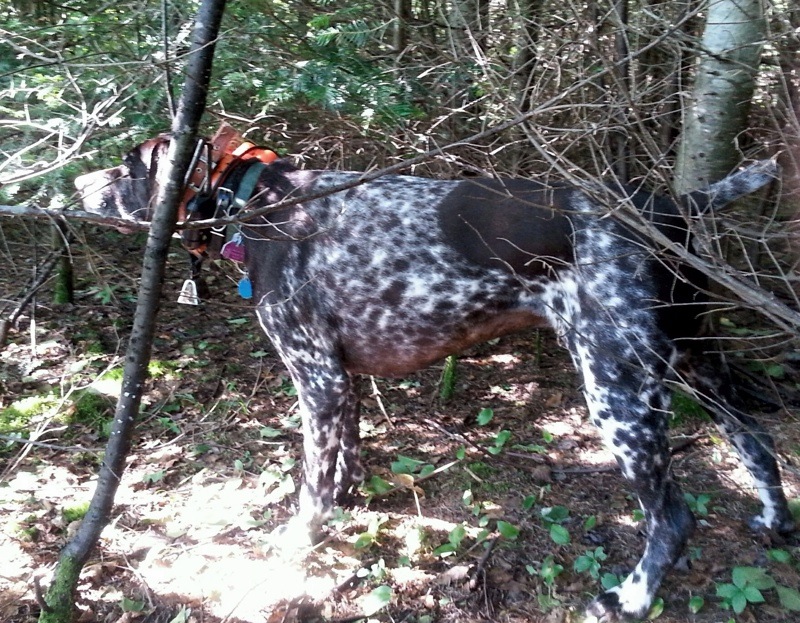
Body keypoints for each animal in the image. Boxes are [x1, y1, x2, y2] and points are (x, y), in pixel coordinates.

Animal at [76, 124, 792, 620]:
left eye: (127, 164)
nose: (78, 185)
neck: (259, 201)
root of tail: (675, 205)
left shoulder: (318, 380)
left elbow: (309, 490)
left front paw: (296, 547)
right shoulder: (341, 382)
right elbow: (341, 467)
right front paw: (345, 505)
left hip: (618, 389)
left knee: (672, 518)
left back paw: (632, 598)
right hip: (693, 362)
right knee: (757, 442)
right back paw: (774, 519)